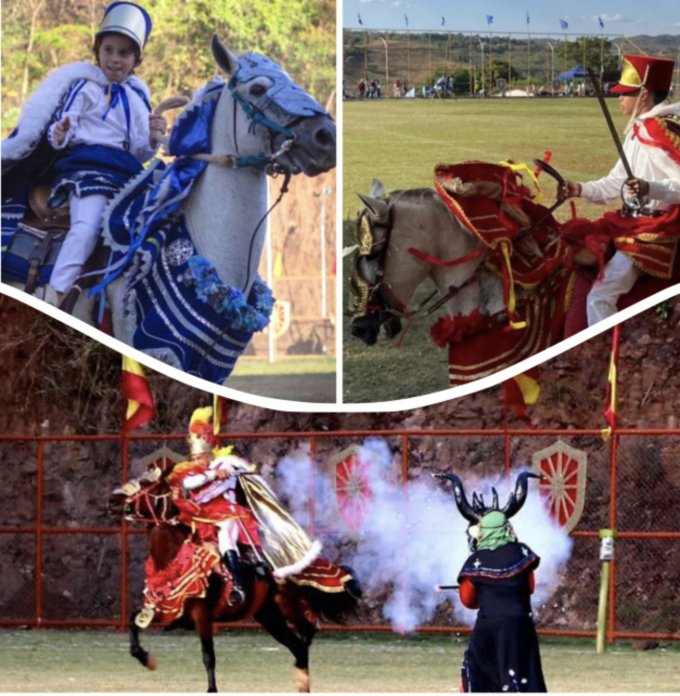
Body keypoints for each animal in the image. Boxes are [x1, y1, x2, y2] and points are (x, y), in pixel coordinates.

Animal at [107, 470, 362, 692]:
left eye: (145, 485)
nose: (112, 500)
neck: (172, 559)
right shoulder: (168, 610)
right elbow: (133, 622)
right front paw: (146, 659)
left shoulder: (202, 615)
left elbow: (208, 657)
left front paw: (211, 689)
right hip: (268, 616)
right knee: (299, 645)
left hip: (288, 608)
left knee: (305, 637)